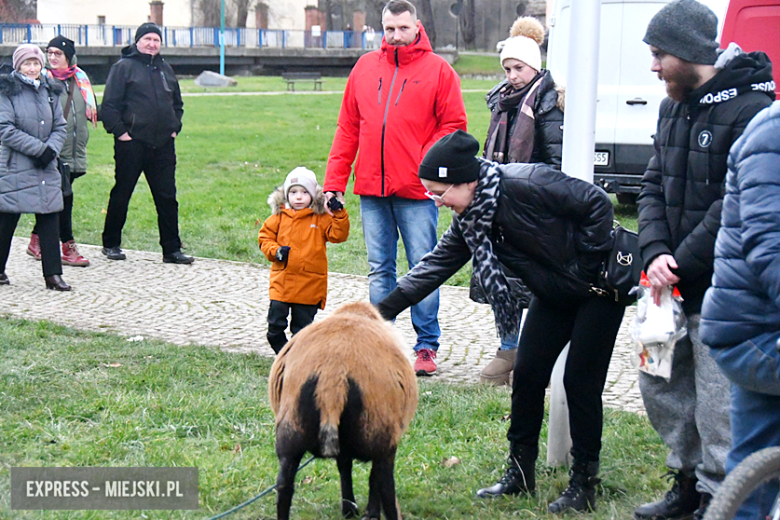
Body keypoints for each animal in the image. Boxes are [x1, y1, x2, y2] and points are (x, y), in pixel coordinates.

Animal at [268, 300, 418, 520]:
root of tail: (333, 374)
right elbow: (371, 479)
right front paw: (368, 512)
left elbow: (344, 467)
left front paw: (349, 510)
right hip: (382, 437)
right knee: (384, 486)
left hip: (290, 433)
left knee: (284, 485)